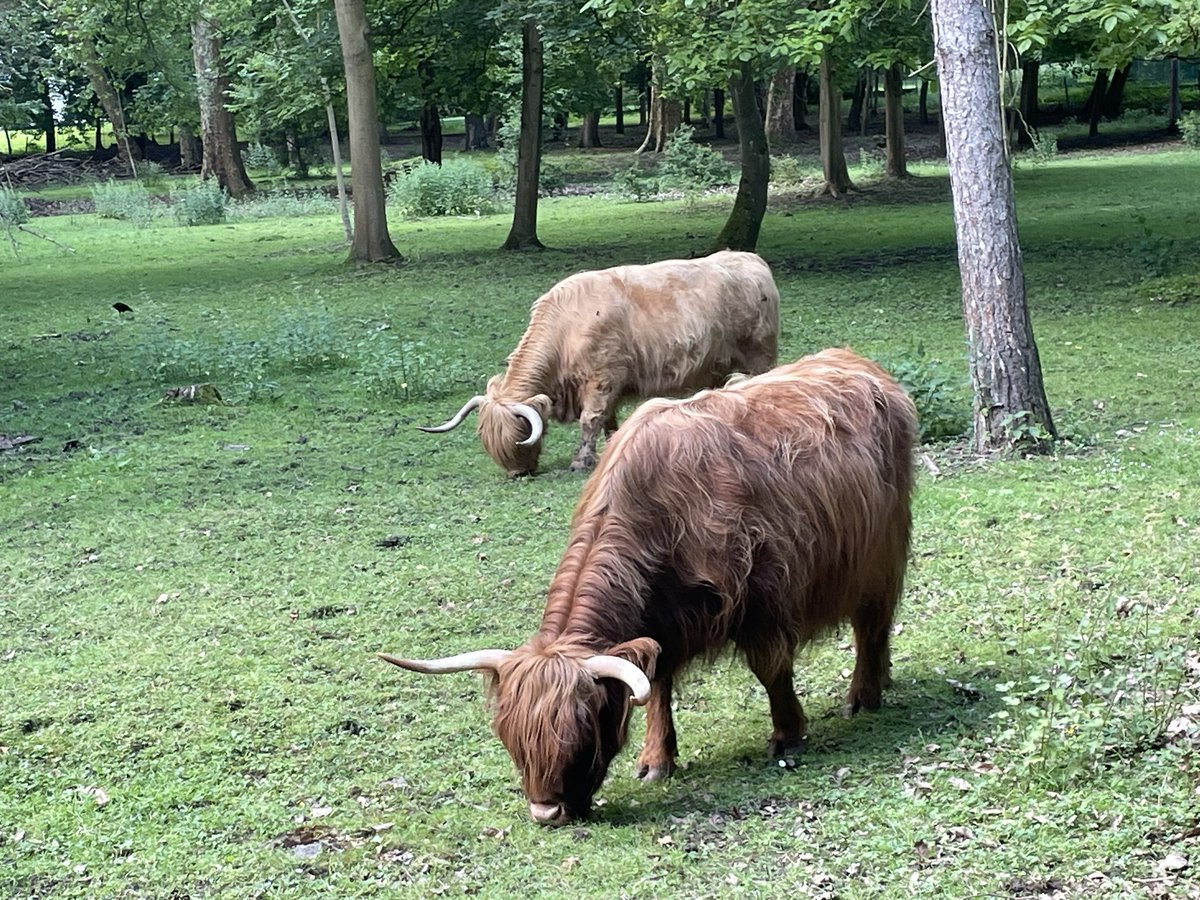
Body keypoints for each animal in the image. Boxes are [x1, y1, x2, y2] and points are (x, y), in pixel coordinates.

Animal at [386, 348, 916, 830]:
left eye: (583, 729)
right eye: (509, 736)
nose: (546, 813)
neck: (659, 513)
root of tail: (860, 364)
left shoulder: (764, 597)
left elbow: (771, 670)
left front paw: (786, 737)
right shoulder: (661, 621)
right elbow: (658, 685)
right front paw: (656, 760)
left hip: (879, 556)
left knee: (872, 624)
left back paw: (864, 695)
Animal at [420, 252, 777, 480]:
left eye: (519, 435)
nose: (517, 473)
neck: (565, 330)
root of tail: (751, 259)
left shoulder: (602, 379)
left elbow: (590, 420)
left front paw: (581, 462)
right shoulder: (611, 387)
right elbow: (609, 421)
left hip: (760, 357)